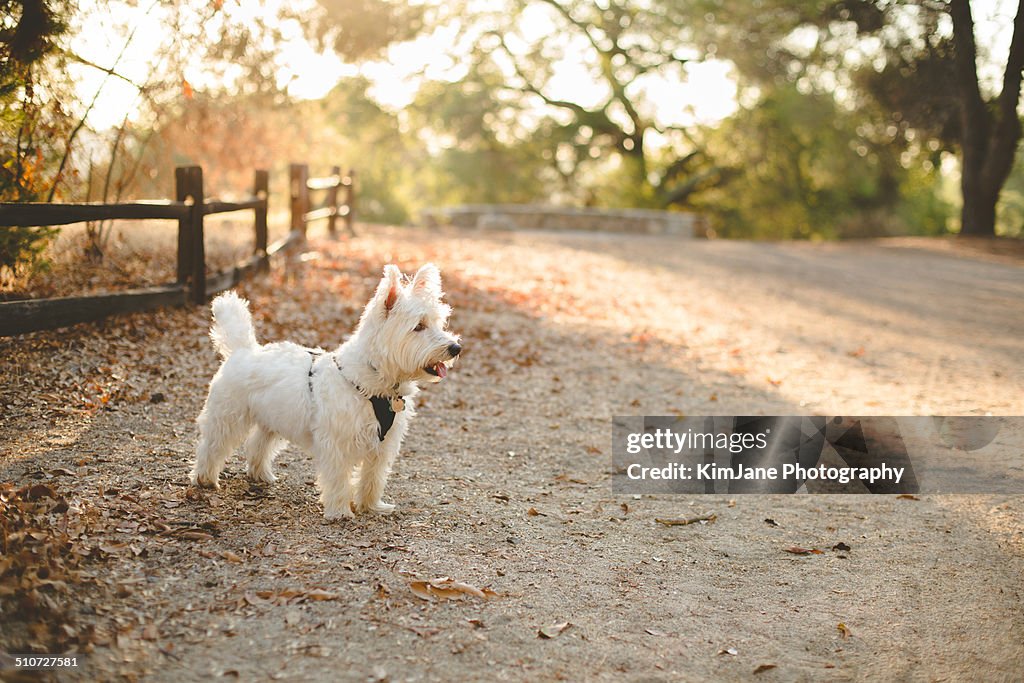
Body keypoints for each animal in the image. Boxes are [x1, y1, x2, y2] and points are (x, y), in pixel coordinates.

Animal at [190, 264, 462, 518]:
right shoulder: (336, 443)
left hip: (273, 419)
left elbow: (373, 477)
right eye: (419, 326)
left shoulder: (382, 444)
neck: (374, 381)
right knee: (212, 445)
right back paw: (205, 478)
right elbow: (339, 478)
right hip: (228, 416)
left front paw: (371, 506)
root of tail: (242, 350)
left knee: (258, 444)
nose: (456, 348)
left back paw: (260, 475)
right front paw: (340, 511)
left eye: (437, 323)